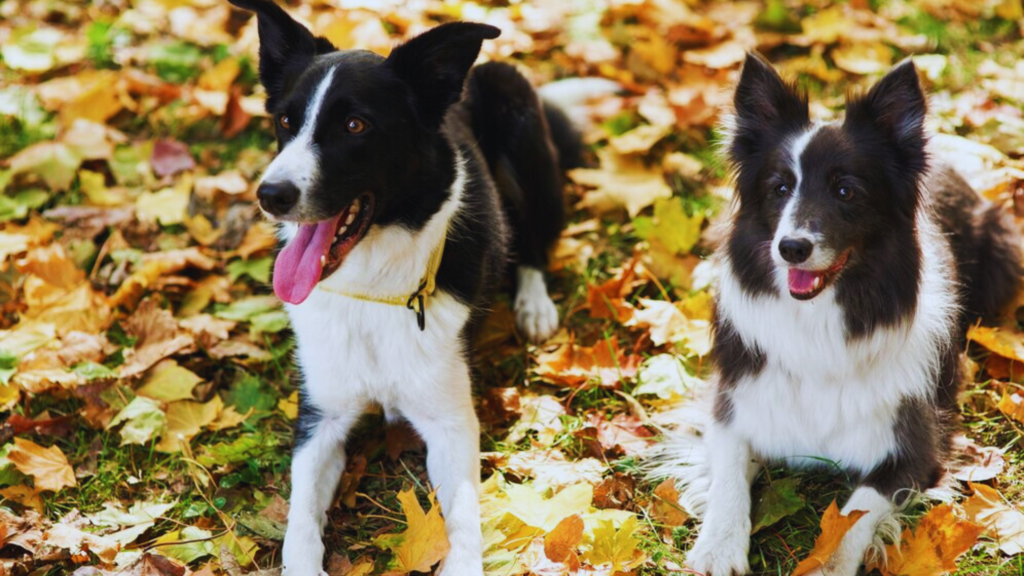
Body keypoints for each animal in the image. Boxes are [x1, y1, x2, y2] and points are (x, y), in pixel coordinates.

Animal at [651, 51, 1019, 569]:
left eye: (846, 191)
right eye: (780, 187)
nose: (791, 248)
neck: (818, 320)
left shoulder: (912, 448)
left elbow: (854, 515)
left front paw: (826, 565)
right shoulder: (734, 408)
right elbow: (728, 480)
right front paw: (718, 547)